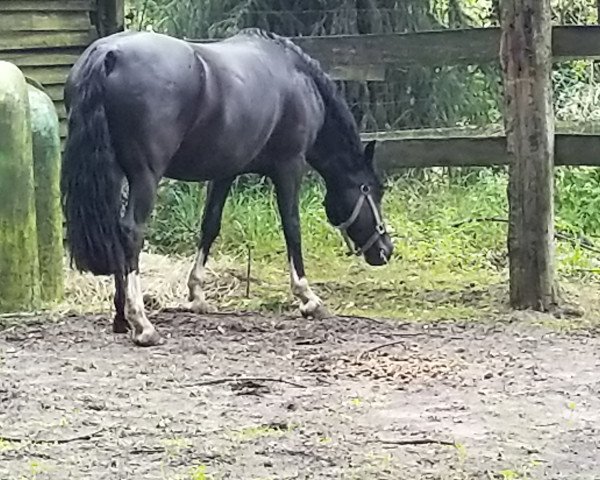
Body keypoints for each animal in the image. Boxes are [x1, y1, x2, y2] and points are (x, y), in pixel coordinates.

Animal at [62, 29, 394, 344]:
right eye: (372, 190)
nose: (385, 250)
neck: (296, 77)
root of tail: (108, 54)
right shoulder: (289, 167)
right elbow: (292, 227)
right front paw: (308, 298)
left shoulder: (225, 173)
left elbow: (210, 225)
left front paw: (197, 295)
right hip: (145, 176)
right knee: (131, 231)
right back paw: (142, 324)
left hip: (115, 174)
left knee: (115, 232)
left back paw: (121, 318)